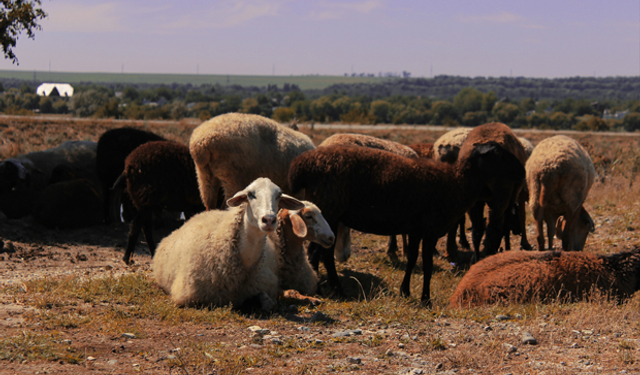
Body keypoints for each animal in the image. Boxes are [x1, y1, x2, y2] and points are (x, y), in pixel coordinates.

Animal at [288, 142, 524, 306]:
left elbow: (412, 259)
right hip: (330, 209)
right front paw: (426, 299)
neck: (457, 183)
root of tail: (302, 165)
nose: (521, 170)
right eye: (500, 154)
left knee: (319, 252)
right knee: (321, 253)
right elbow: (427, 265)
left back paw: (325, 287)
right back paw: (332, 288)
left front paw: (405, 291)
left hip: (329, 214)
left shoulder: (416, 229)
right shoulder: (429, 230)